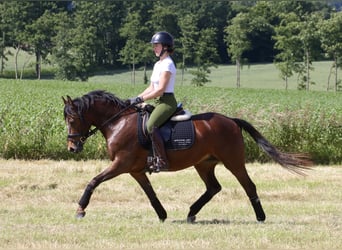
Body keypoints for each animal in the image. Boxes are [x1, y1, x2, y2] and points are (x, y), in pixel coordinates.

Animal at [62, 90, 312, 223]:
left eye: (72, 119)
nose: (72, 148)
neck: (118, 122)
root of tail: (232, 120)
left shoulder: (121, 164)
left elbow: (93, 181)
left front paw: (80, 209)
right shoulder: (135, 170)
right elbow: (150, 193)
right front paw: (162, 214)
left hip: (233, 161)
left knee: (248, 185)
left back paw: (260, 217)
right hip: (204, 164)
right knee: (213, 187)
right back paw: (191, 213)